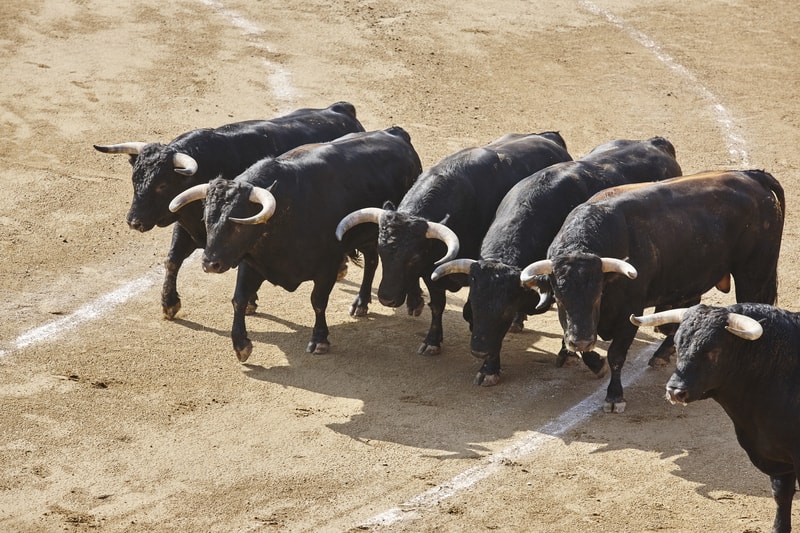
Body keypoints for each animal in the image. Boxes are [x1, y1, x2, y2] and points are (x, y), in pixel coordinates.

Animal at [94, 102, 366, 318]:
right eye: (134, 178)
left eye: (162, 184)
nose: (134, 221)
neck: (206, 165)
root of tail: (341, 109)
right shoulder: (185, 224)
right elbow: (172, 260)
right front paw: (169, 303)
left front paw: (250, 302)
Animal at [166, 128, 422, 362]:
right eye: (207, 220)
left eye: (238, 225)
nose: (210, 264)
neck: (285, 211)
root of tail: (396, 134)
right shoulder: (252, 261)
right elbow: (239, 299)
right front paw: (241, 344)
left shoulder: (327, 267)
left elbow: (318, 301)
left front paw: (319, 339)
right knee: (372, 260)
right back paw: (361, 302)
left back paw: (412, 301)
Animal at [334, 132, 572, 358]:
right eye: (382, 251)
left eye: (414, 257)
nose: (387, 298)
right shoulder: (433, 272)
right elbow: (437, 305)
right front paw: (432, 340)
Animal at [428, 136, 684, 386]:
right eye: (474, 303)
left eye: (505, 310)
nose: (479, 350)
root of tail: (655, 142)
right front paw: (489, 368)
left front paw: (591, 362)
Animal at [520, 169, 784, 412]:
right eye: (559, 298)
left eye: (597, 295)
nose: (582, 340)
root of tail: (750, 175)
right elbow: (579, 345)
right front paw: (595, 363)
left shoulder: (630, 312)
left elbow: (616, 355)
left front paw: (614, 396)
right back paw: (663, 353)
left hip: (754, 273)